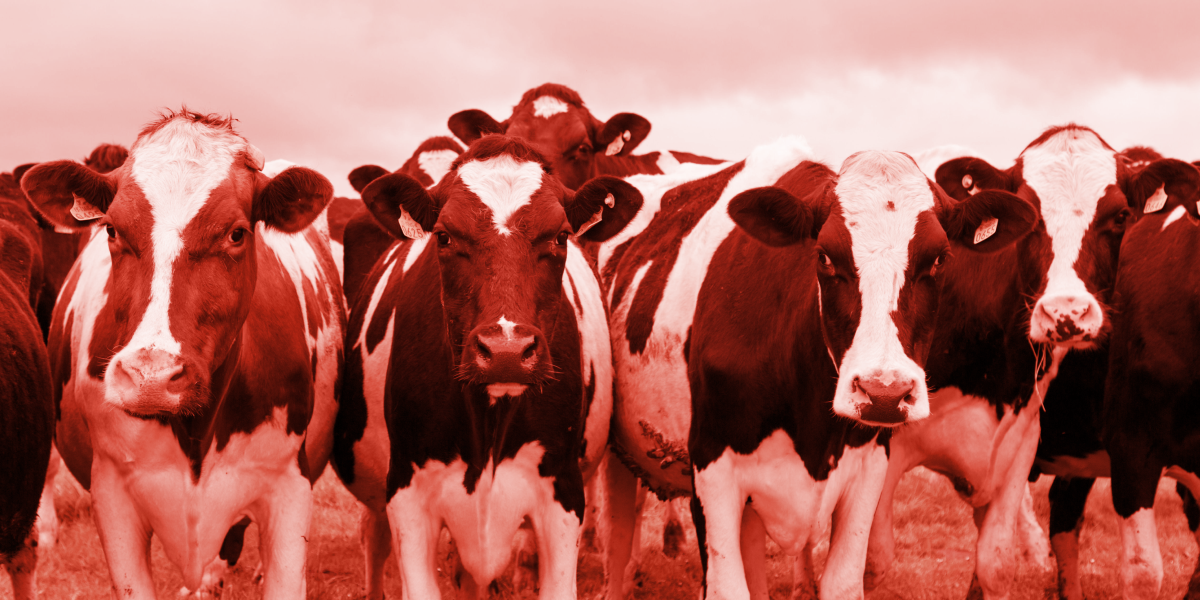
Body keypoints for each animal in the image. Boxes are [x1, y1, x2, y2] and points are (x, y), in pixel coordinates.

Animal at [22, 108, 343, 599]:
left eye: (236, 233)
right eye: (112, 229)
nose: (151, 377)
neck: (197, 430)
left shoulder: (289, 485)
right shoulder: (112, 495)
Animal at [333, 134, 641, 600]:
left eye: (561, 236)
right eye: (443, 236)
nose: (506, 350)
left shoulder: (563, 495)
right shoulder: (407, 496)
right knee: (375, 538)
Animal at [601, 136, 1037, 600]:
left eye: (939, 259)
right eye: (825, 256)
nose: (884, 393)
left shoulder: (868, 469)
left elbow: (843, 582)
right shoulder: (711, 471)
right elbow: (729, 587)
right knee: (618, 531)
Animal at [866, 125, 1166, 600]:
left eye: (1121, 216)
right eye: (1032, 216)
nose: (1066, 314)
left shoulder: (1018, 445)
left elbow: (995, 564)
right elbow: (870, 560)